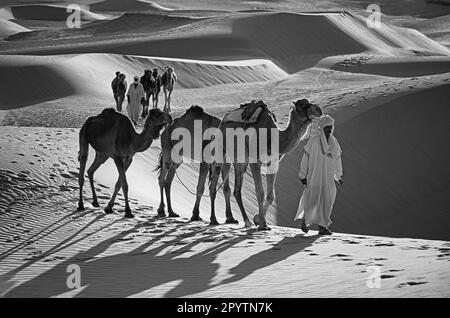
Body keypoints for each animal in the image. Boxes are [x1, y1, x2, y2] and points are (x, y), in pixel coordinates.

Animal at [209, 98, 322, 230]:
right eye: (303, 105)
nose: (318, 109)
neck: (273, 138)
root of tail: (222, 123)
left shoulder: (273, 163)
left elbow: (271, 196)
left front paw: (257, 219)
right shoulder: (255, 161)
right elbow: (260, 193)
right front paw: (262, 224)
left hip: (237, 160)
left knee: (233, 189)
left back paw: (240, 220)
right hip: (221, 152)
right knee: (214, 186)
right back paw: (214, 220)